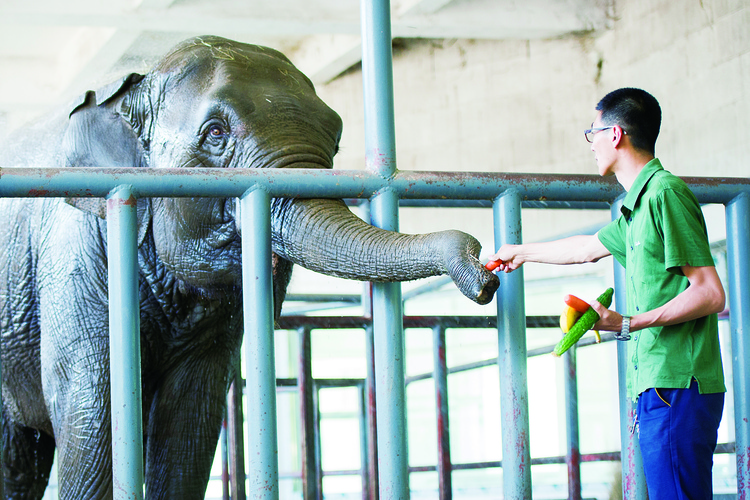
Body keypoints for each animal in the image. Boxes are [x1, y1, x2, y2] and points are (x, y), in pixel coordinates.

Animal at [0, 36, 502, 500]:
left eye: (337, 138)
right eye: (215, 133)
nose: (485, 274)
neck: (140, 74)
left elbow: (191, 418)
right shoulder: (76, 253)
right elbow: (95, 409)